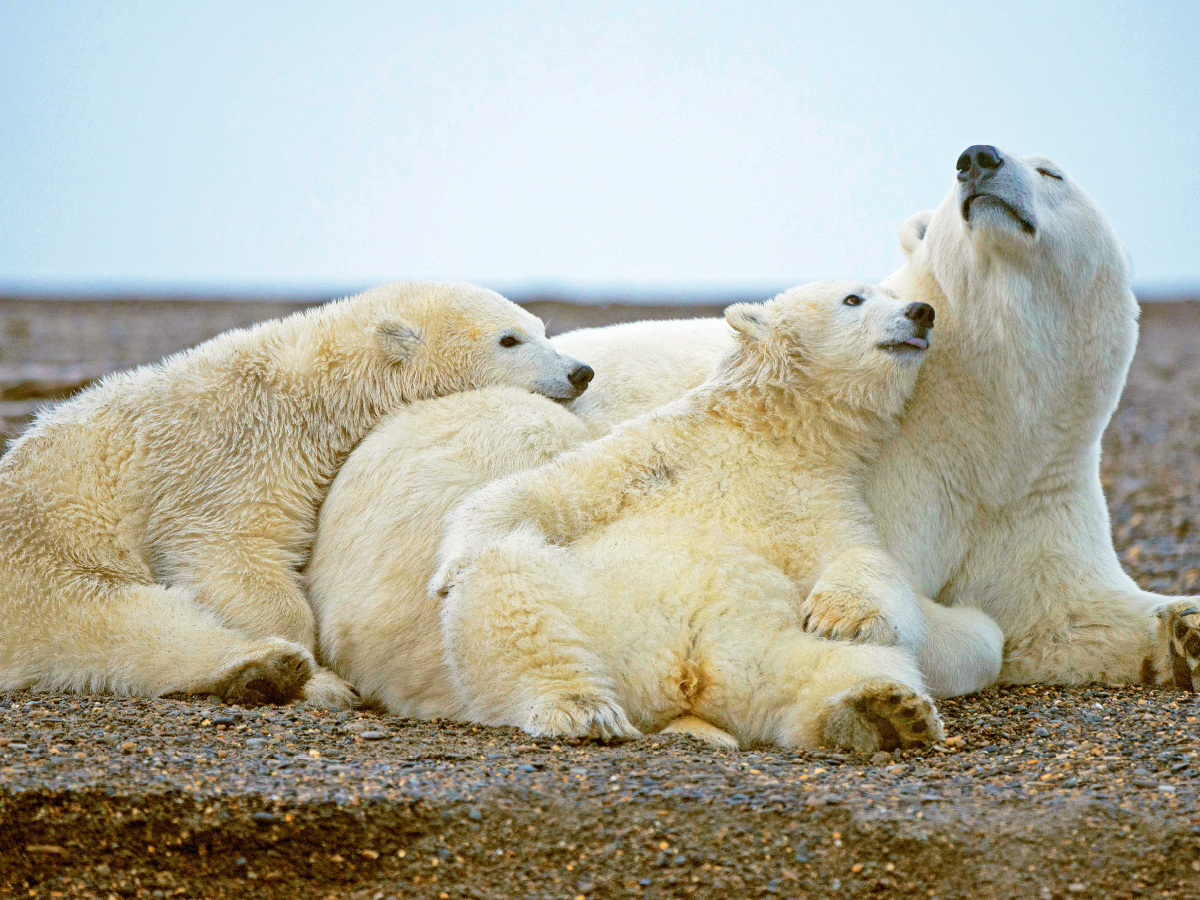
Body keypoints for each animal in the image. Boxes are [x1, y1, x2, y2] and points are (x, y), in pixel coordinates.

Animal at [432, 283, 945, 753]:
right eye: (854, 298)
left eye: (894, 293)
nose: (922, 311)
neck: (769, 436)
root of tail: (686, 679)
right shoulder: (661, 450)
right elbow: (551, 490)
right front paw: (448, 570)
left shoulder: (821, 498)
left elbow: (863, 560)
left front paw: (838, 616)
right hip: (593, 612)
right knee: (510, 591)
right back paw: (582, 708)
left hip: (771, 652)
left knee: (855, 662)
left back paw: (880, 713)